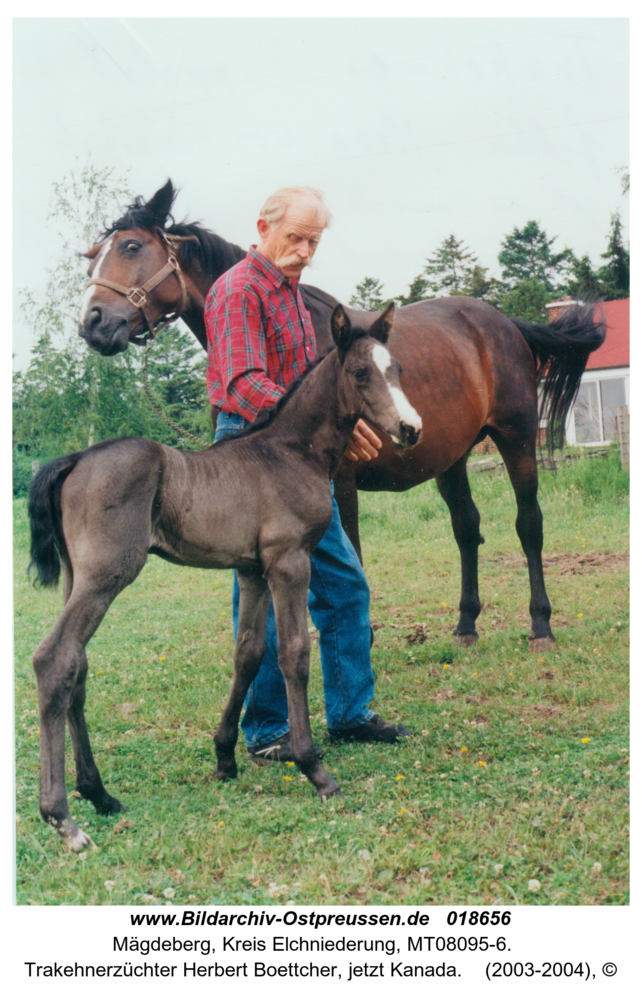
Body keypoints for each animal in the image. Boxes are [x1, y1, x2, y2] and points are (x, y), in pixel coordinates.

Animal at [28, 304, 420, 852]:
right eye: (361, 372)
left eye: (398, 369)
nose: (410, 428)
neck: (290, 452)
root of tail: (75, 458)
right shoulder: (289, 563)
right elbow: (294, 654)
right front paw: (314, 769)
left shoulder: (252, 571)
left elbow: (249, 655)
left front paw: (224, 758)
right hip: (107, 575)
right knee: (54, 659)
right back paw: (64, 819)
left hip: (77, 578)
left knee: (77, 667)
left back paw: (100, 794)